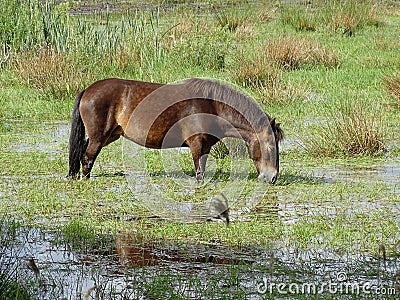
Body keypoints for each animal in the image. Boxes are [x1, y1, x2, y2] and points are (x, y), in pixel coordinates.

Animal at [67, 77, 282, 184]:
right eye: (271, 147)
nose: (272, 177)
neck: (211, 105)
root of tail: (88, 90)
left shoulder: (204, 147)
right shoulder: (197, 145)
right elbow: (199, 173)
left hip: (108, 136)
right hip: (99, 137)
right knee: (87, 158)